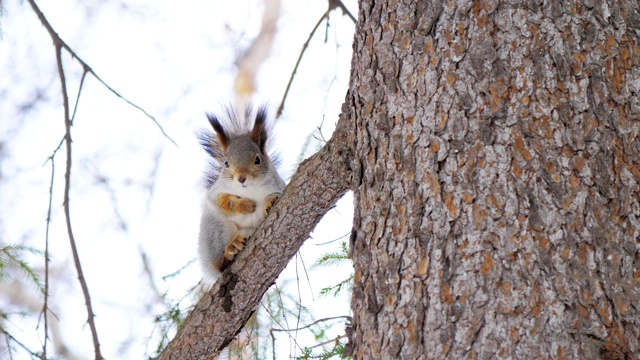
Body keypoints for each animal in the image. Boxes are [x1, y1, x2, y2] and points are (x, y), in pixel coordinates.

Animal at [196, 105, 284, 286]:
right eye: (226, 163)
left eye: (258, 159)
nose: (241, 178)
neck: (248, 190)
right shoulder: (216, 192)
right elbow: (223, 201)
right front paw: (244, 205)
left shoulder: (278, 185)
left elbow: (274, 195)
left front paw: (270, 202)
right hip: (215, 231)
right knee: (219, 264)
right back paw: (231, 250)